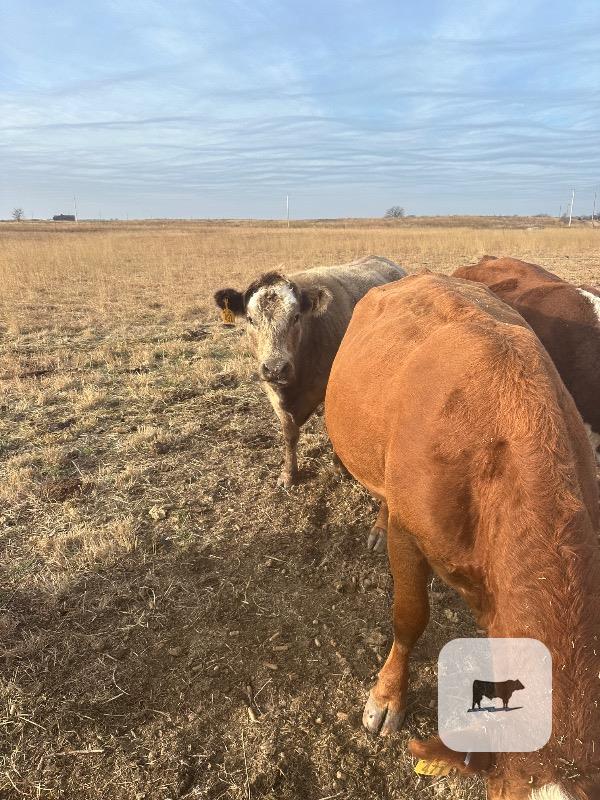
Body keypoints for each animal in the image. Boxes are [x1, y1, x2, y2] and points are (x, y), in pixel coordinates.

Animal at [214, 255, 405, 488]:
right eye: (250, 319)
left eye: (296, 316)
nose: (276, 367)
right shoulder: (273, 392)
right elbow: (289, 434)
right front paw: (289, 474)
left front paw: (339, 467)